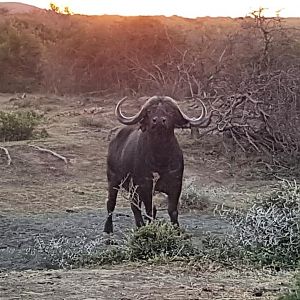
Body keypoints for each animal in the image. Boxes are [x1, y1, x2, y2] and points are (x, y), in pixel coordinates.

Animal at [104, 95, 212, 233]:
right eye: (150, 111)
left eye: (170, 111)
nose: (159, 120)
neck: (161, 158)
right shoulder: (145, 185)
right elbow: (149, 210)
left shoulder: (176, 185)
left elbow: (172, 211)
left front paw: (176, 230)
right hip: (113, 180)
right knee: (111, 203)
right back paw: (109, 228)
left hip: (132, 188)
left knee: (134, 205)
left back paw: (139, 225)